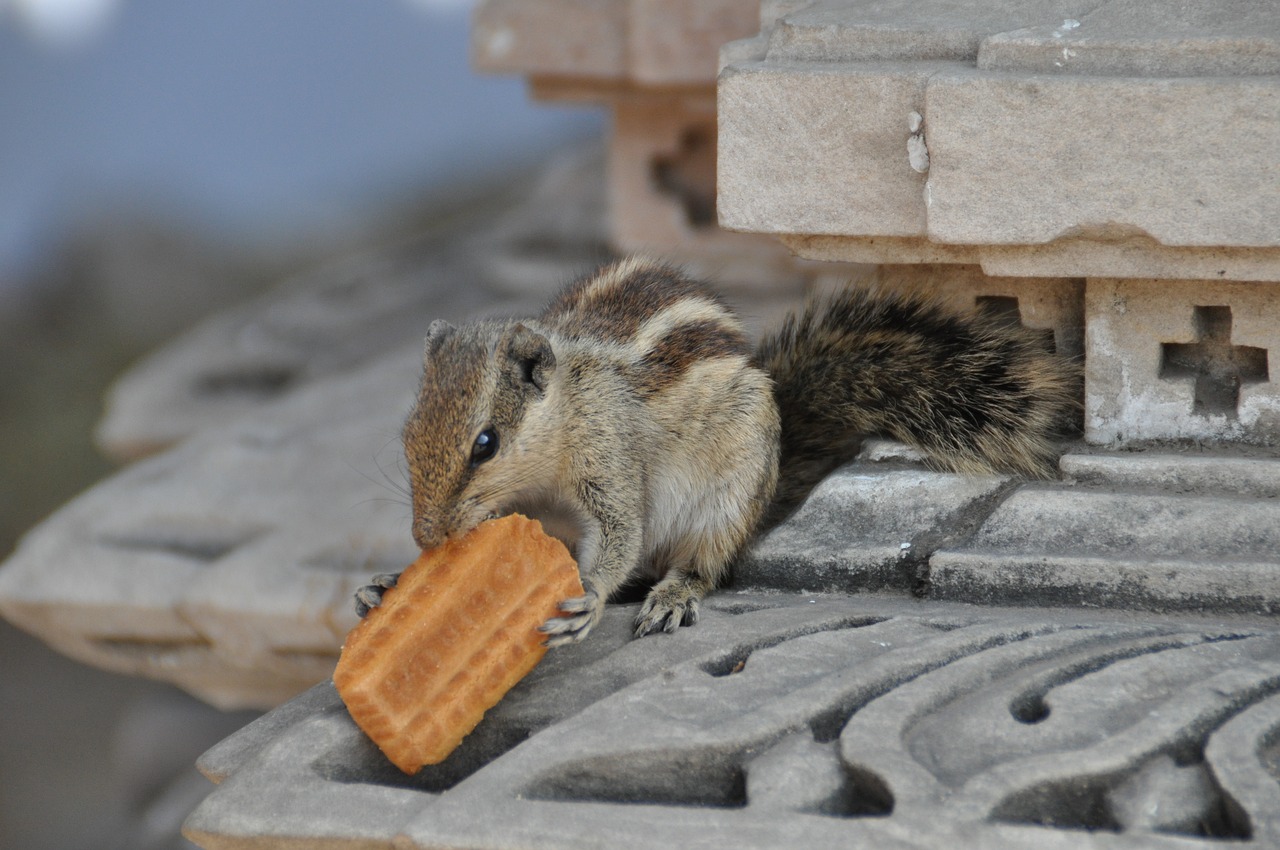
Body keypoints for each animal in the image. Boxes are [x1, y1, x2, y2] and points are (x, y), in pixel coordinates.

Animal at [354, 256, 1079, 644]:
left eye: (486, 442)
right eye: (409, 431)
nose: (427, 536)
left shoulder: (609, 457)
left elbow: (619, 531)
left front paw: (587, 595)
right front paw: (386, 583)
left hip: (725, 500)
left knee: (703, 564)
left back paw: (672, 593)